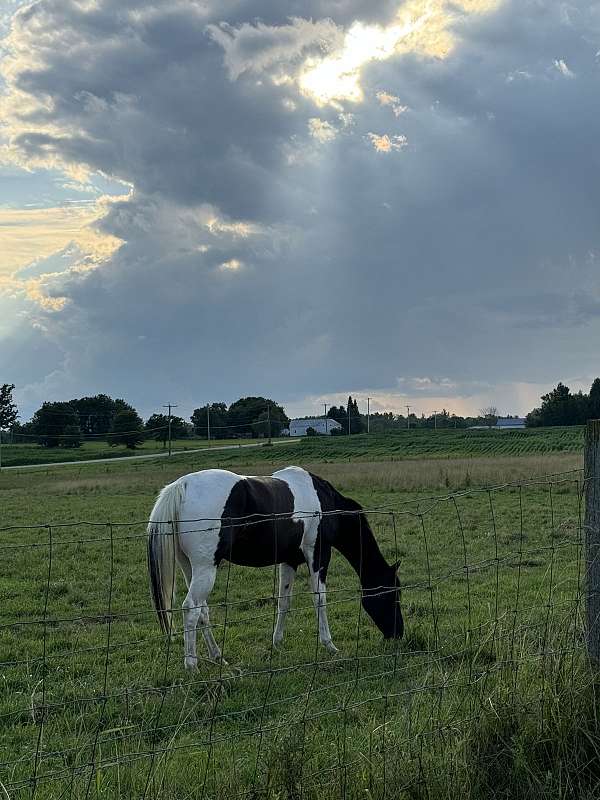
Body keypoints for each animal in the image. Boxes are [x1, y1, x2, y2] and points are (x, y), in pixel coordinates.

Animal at [148, 466, 406, 664]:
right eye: (393, 594)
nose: (398, 634)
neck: (325, 503)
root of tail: (182, 486)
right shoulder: (318, 555)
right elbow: (320, 599)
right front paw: (329, 645)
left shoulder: (289, 560)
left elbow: (284, 601)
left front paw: (277, 642)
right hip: (205, 568)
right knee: (191, 608)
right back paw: (192, 665)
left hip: (190, 567)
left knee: (203, 610)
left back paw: (218, 657)